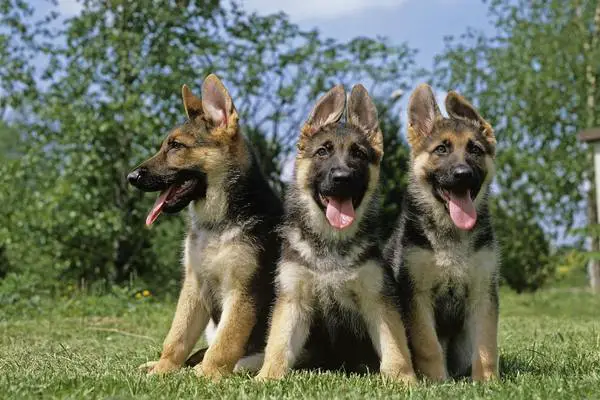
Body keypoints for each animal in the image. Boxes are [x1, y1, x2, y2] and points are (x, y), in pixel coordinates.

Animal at [127, 73, 282, 380]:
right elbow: (177, 336)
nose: (131, 177)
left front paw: (206, 374)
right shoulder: (193, 286)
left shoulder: (244, 292)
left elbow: (225, 341)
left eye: (176, 146)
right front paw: (163, 368)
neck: (217, 223)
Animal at [255, 85, 414, 384]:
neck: (332, 242)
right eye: (322, 152)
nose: (342, 178)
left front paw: (403, 378)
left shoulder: (378, 300)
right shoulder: (293, 301)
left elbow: (394, 345)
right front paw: (267, 377)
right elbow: (279, 345)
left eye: (359, 154)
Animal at [386, 83, 500, 382]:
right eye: (441, 149)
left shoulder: (484, 294)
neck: (451, 232)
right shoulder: (417, 297)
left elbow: (486, 346)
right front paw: (436, 381)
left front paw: (487, 382)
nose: (463, 174)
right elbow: (428, 345)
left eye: (475, 149)